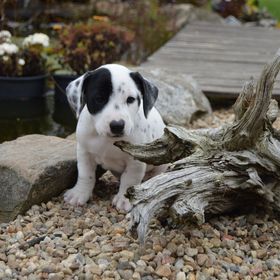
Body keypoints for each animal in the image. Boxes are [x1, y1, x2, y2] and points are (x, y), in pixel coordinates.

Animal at [63, 64, 166, 212]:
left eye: (130, 99)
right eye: (99, 98)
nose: (117, 125)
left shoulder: (136, 160)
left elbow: (130, 179)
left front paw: (125, 199)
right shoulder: (84, 152)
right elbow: (85, 174)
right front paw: (79, 193)